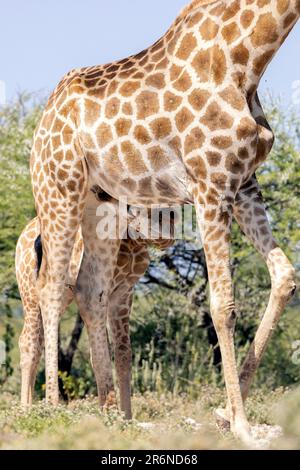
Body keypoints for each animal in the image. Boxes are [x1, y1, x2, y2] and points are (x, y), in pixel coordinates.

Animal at [29, 0, 298, 442]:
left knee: (88, 288)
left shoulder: (243, 183)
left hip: (100, 204)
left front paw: (224, 414)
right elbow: (223, 304)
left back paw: (109, 413)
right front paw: (242, 426)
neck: (248, 58)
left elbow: (285, 276)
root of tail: (42, 121)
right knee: (51, 286)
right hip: (58, 188)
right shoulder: (210, 184)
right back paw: (51, 407)